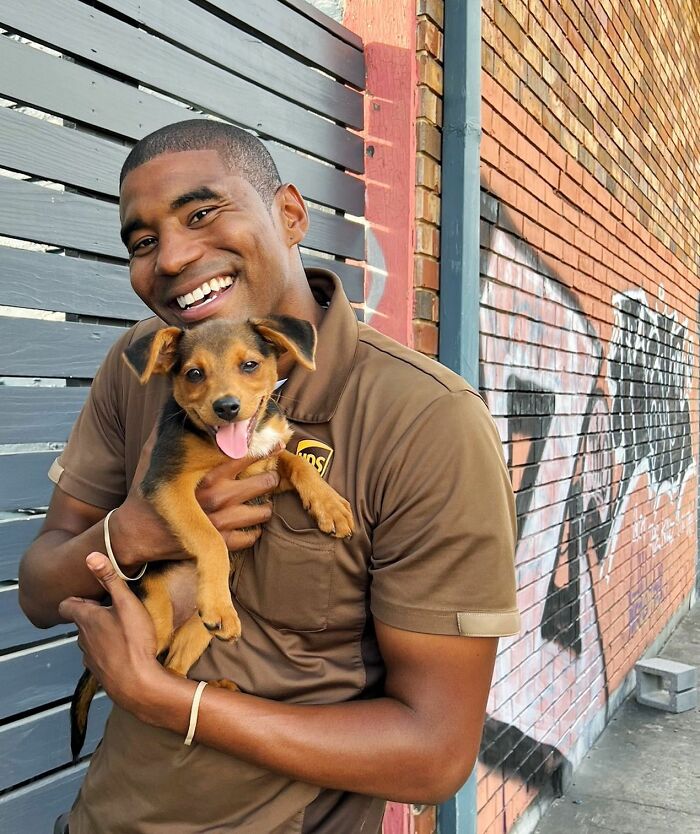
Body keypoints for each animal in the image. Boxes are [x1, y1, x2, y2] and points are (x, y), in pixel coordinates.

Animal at [71, 316, 350, 756]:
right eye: (194, 374)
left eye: (250, 365)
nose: (226, 407)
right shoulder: (169, 484)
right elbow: (210, 537)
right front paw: (219, 602)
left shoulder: (264, 466)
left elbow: (295, 461)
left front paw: (330, 505)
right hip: (153, 616)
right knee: (146, 669)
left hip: (197, 633)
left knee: (171, 672)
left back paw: (213, 684)